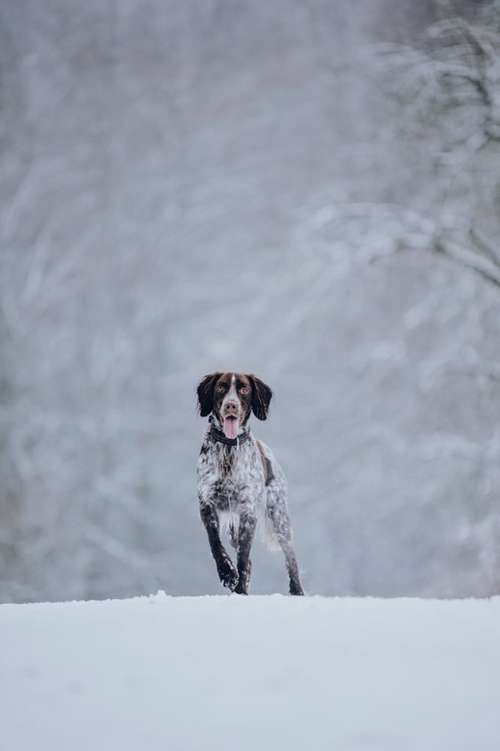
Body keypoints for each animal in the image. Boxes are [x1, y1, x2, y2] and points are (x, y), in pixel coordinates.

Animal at [197, 374, 302, 596]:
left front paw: (239, 589)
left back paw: (297, 591)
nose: (231, 405)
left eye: (244, 389)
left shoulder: (248, 511)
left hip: (279, 517)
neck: (228, 448)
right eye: (221, 387)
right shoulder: (207, 504)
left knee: (291, 557)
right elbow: (215, 544)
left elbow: (243, 558)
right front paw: (228, 574)